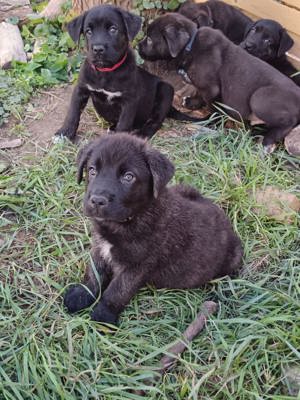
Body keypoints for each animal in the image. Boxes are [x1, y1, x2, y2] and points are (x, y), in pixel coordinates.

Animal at [64, 134, 243, 324]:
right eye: (92, 170)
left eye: (128, 177)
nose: (97, 200)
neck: (130, 219)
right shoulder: (99, 247)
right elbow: (94, 274)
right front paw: (81, 295)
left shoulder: (137, 266)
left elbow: (118, 290)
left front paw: (103, 315)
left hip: (234, 257)